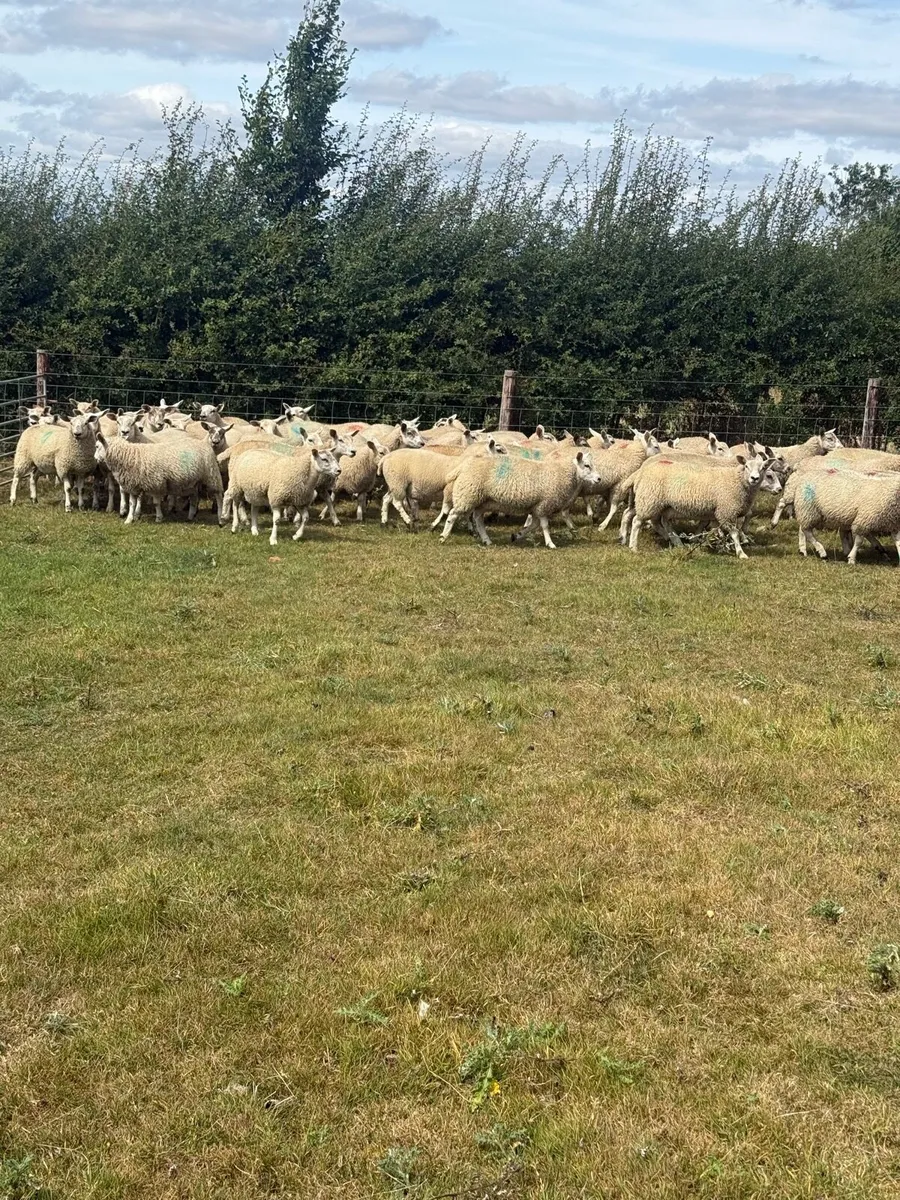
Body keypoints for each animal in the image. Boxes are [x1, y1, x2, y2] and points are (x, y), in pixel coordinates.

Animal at [95, 433, 224, 524]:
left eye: (97, 446)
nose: (95, 459)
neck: (129, 456)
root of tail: (203, 442)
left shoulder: (156, 483)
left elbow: (156, 503)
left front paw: (158, 517)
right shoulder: (133, 485)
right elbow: (132, 503)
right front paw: (129, 519)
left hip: (211, 475)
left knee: (218, 496)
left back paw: (220, 518)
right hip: (193, 481)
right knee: (194, 497)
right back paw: (191, 516)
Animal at [440, 448, 600, 549]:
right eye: (587, 465)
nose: (599, 479)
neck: (563, 472)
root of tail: (464, 466)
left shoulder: (537, 507)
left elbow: (533, 526)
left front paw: (517, 535)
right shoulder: (544, 504)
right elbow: (544, 526)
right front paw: (550, 543)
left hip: (482, 500)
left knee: (478, 519)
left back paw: (486, 540)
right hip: (467, 495)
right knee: (453, 514)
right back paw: (443, 536)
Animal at [626, 453, 781, 558]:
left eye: (763, 468)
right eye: (747, 466)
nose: (754, 478)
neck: (737, 480)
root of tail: (641, 471)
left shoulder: (718, 512)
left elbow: (711, 528)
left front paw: (708, 541)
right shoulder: (726, 511)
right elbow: (734, 533)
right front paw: (740, 552)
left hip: (664, 506)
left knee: (663, 523)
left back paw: (675, 541)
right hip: (649, 501)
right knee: (636, 521)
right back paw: (633, 546)